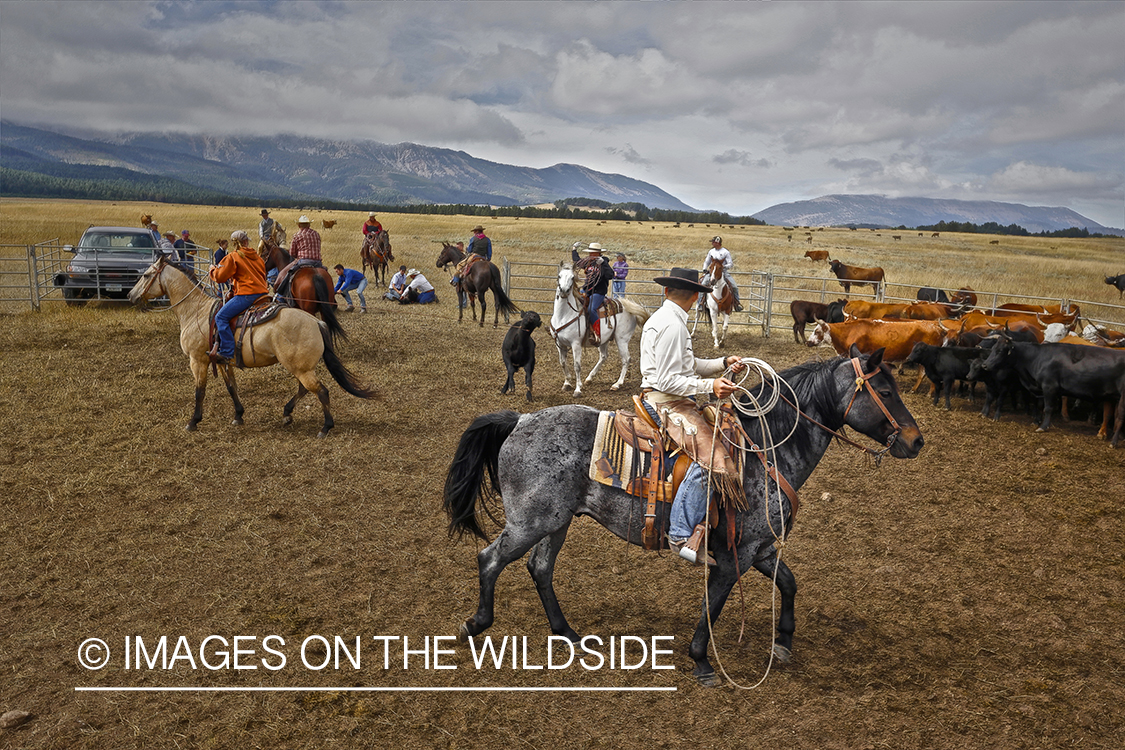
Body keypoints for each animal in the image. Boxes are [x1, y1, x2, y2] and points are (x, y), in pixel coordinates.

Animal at [126, 256, 375, 440]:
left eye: (146, 275)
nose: (130, 295)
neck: (195, 310)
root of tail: (316, 322)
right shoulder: (222, 361)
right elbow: (231, 388)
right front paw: (238, 415)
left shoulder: (197, 360)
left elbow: (200, 391)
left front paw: (193, 421)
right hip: (300, 367)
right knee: (305, 389)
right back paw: (287, 414)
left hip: (301, 368)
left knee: (321, 391)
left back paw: (325, 427)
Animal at [443, 346, 927, 688]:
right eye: (885, 392)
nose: (916, 440)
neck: (765, 450)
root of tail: (521, 420)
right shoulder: (736, 554)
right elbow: (714, 603)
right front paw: (701, 660)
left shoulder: (762, 547)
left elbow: (789, 583)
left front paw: (784, 641)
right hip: (530, 523)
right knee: (490, 559)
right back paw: (476, 624)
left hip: (557, 522)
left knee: (540, 567)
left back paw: (568, 633)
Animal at [546, 260, 648, 395]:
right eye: (559, 276)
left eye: (572, 277)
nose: (564, 291)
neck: (564, 315)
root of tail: (627, 308)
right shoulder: (559, 344)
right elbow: (562, 363)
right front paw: (567, 383)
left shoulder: (576, 344)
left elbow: (577, 366)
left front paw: (577, 389)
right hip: (603, 339)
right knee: (603, 356)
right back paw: (589, 378)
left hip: (622, 340)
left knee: (626, 359)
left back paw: (617, 384)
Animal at [976, 335, 1125, 445]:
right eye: (993, 348)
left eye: (1000, 351)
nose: (985, 365)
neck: (1037, 356)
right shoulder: (1041, 389)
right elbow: (1040, 405)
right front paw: (1037, 420)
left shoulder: (1049, 387)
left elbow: (1048, 408)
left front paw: (1043, 426)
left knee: (1120, 418)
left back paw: (1114, 442)